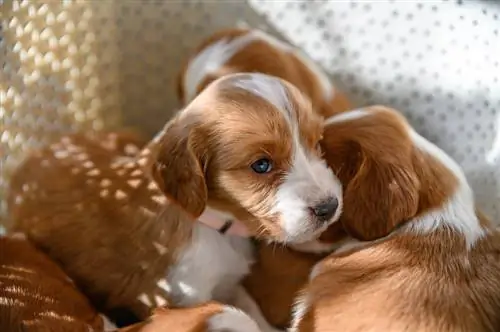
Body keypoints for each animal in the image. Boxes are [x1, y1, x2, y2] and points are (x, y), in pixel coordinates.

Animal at [8, 73, 344, 332]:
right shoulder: (183, 297)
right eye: (261, 165)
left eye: (317, 144)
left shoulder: (230, 283)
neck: (215, 225)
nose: (329, 207)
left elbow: (252, 311)